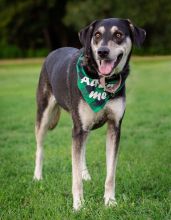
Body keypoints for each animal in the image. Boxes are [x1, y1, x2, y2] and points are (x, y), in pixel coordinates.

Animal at [33, 18, 146, 211]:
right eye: (97, 35)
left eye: (118, 34)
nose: (102, 52)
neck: (102, 81)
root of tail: (54, 51)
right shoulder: (78, 128)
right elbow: (75, 176)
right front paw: (78, 205)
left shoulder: (114, 126)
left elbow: (110, 173)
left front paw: (110, 201)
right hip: (45, 114)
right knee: (40, 148)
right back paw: (37, 176)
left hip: (84, 126)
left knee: (82, 151)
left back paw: (85, 173)